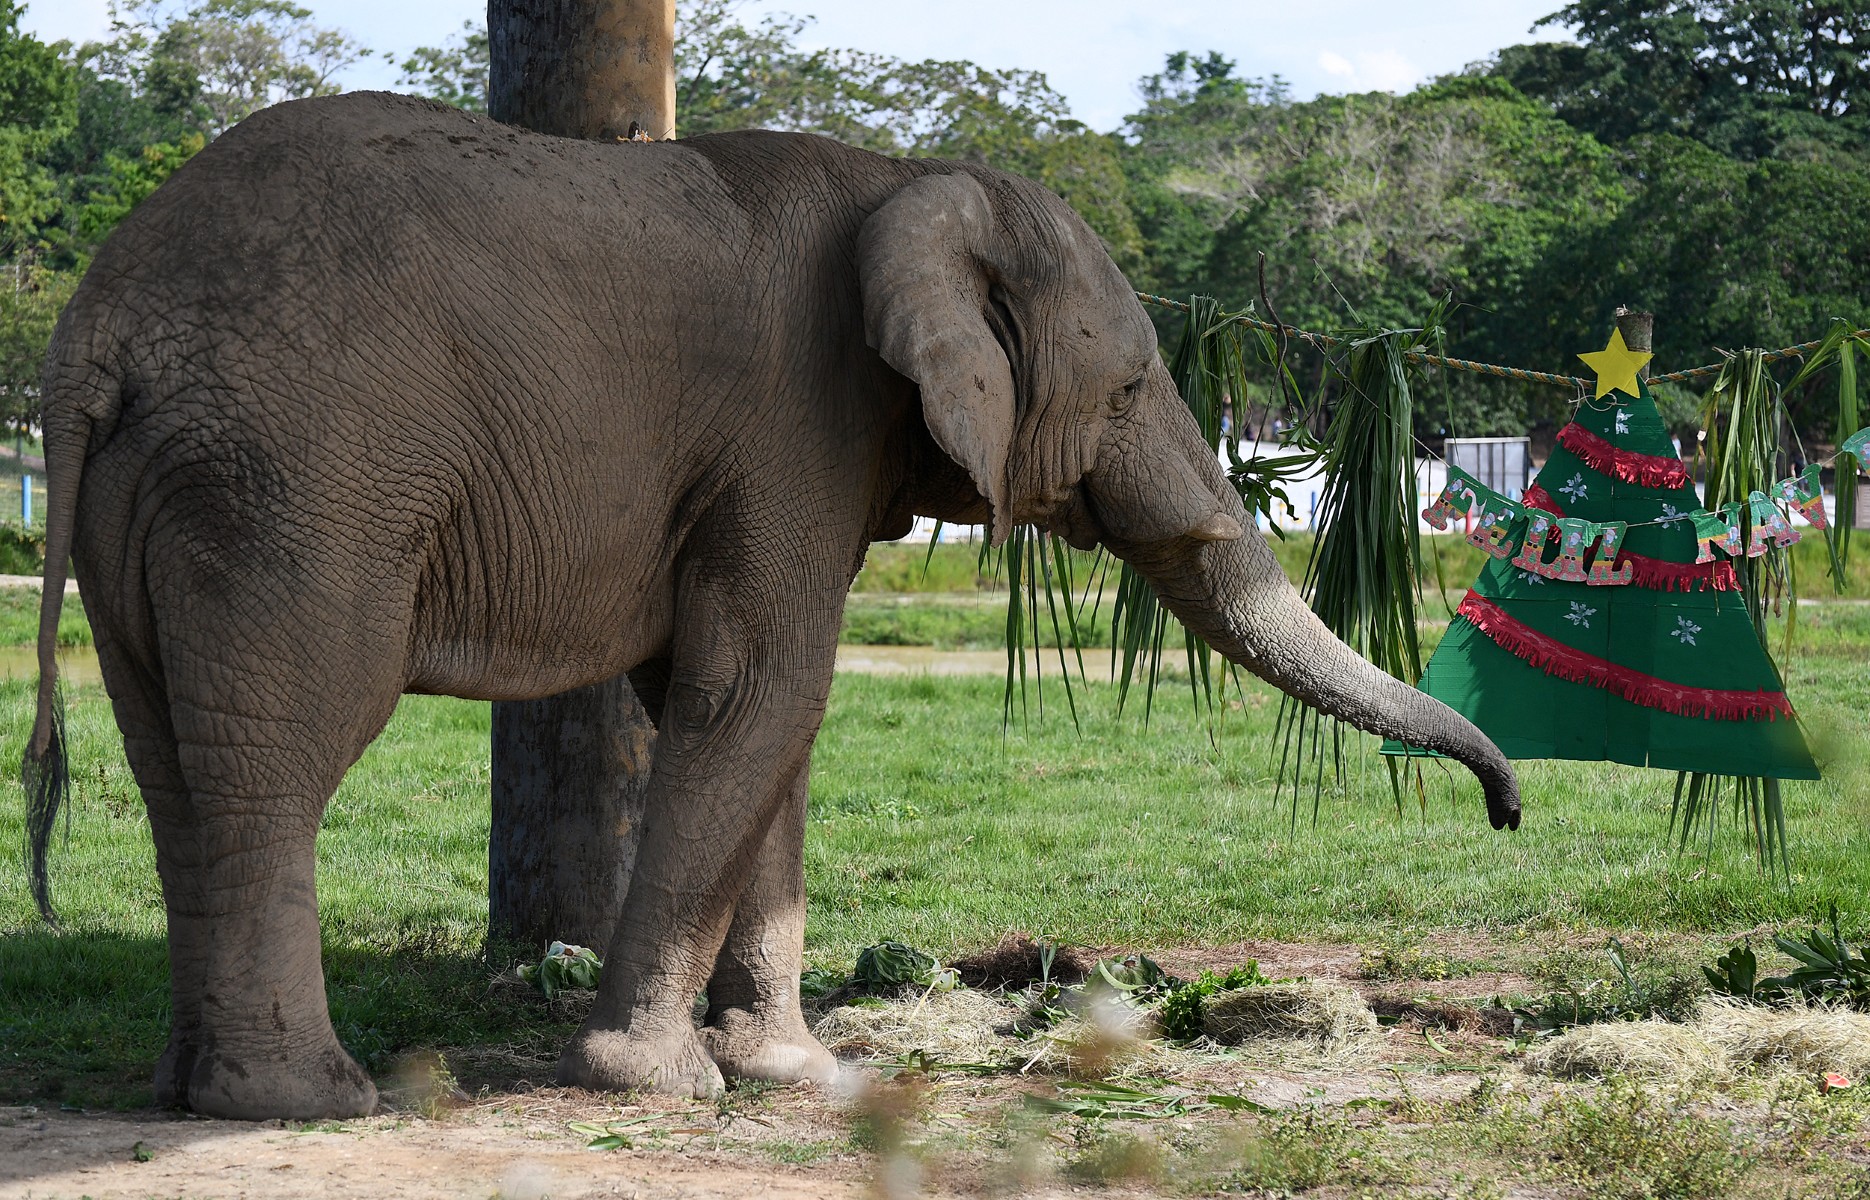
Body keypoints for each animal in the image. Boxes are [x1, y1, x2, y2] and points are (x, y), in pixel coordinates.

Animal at [24, 91, 1519, 1121]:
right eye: (1138, 387)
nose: (1506, 815)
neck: (906, 176)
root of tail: (97, 336)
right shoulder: (792, 425)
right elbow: (758, 688)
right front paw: (662, 1086)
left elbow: (757, 711)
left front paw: (795, 1075)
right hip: (295, 488)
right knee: (287, 757)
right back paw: (310, 1103)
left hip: (163, 501)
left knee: (178, 767)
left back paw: (187, 1090)